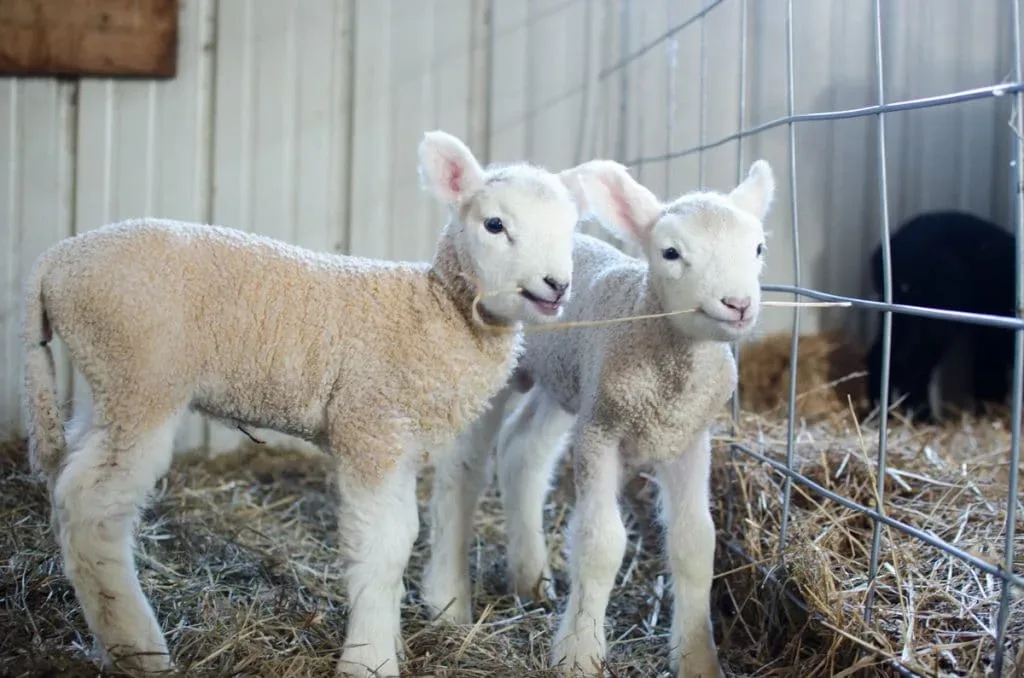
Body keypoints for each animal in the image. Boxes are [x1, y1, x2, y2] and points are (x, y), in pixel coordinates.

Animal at [20, 129, 632, 677]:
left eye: (572, 228)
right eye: (495, 224)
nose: (556, 285)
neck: (435, 310)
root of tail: (54, 261)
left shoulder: (397, 441)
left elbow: (405, 534)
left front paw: (389, 640)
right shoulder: (369, 425)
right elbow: (381, 547)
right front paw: (369, 661)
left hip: (107, 381)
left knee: (71, 474)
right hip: (142, 377)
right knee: (91, 506)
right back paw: (140, 651)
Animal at [422, 159, 776, 678]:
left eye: (758, 248)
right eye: (671, 252)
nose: (738, 304)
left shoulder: (688, 438)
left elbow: (696, 543)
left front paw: (697, 659)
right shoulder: (600, 432)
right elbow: (601, 542)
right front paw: (579, 652)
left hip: (566, 382)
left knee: (522, 451)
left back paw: (531, 578)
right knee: (463, 468)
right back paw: (449, 599)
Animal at [865, 210, 1016, 423]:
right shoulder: (996, 335)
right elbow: (989, 371)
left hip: (901, 318)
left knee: (882, 355)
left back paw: (880, 412)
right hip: (935, 319)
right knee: (911, 366)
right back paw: (922, 419)